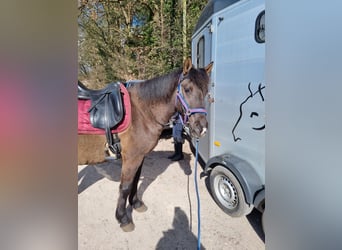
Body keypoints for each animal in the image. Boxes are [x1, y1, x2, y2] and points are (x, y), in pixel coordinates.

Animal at [78, 57, 212, 231]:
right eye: (188, 89)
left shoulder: (139, 157)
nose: (201, 129)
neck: (141, 112)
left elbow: (135, 181)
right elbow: (125, 187)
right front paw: (123, 218)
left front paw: (136, 203)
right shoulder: (131, 158)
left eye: (206, 91)